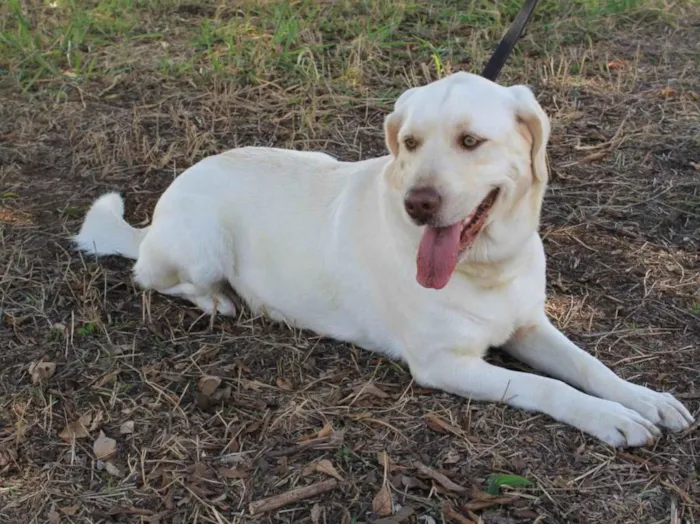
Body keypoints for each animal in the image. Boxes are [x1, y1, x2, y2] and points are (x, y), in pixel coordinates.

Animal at [74, 72, 692, 446]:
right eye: (411, 143)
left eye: (471, 141)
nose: (418, 203)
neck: (486, 267)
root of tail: (160, 209)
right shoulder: (444, 364)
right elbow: (549, 388)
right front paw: (611, 419)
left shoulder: (527, 326)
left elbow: (589, 367)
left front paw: (646, 400)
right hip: (200, 247)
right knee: (155, 277)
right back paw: (221, 300)